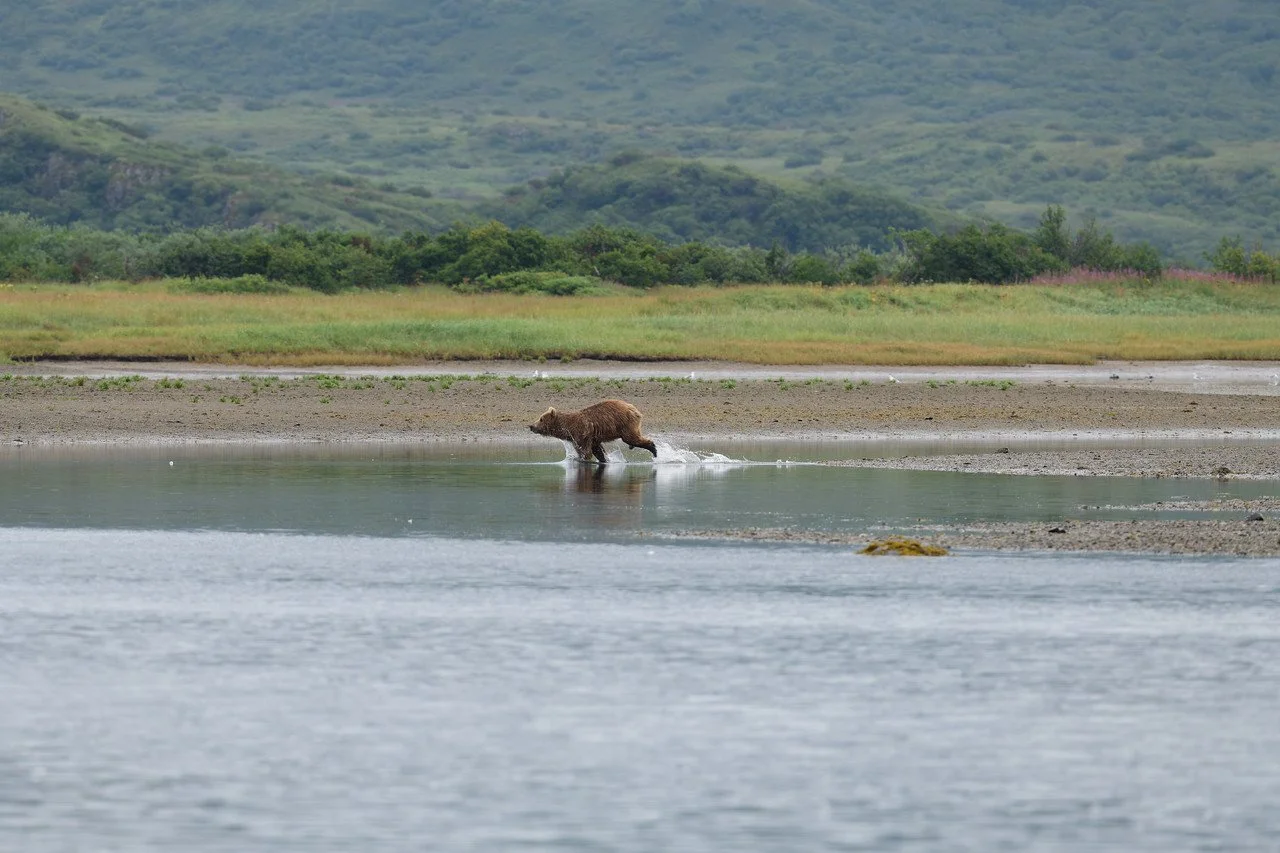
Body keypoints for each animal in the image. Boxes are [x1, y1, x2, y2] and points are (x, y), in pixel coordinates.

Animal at [529, 399, 658, 464]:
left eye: (541, 419)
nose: (531, 426)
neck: (567, 427)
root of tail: (633, 408)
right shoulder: (590, 438)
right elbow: (597, 450)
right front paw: (604, 459)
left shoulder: (582, 433)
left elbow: (585, 451)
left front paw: (582, 459)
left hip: (625, 424)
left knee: (631, 438)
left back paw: (654, 450)